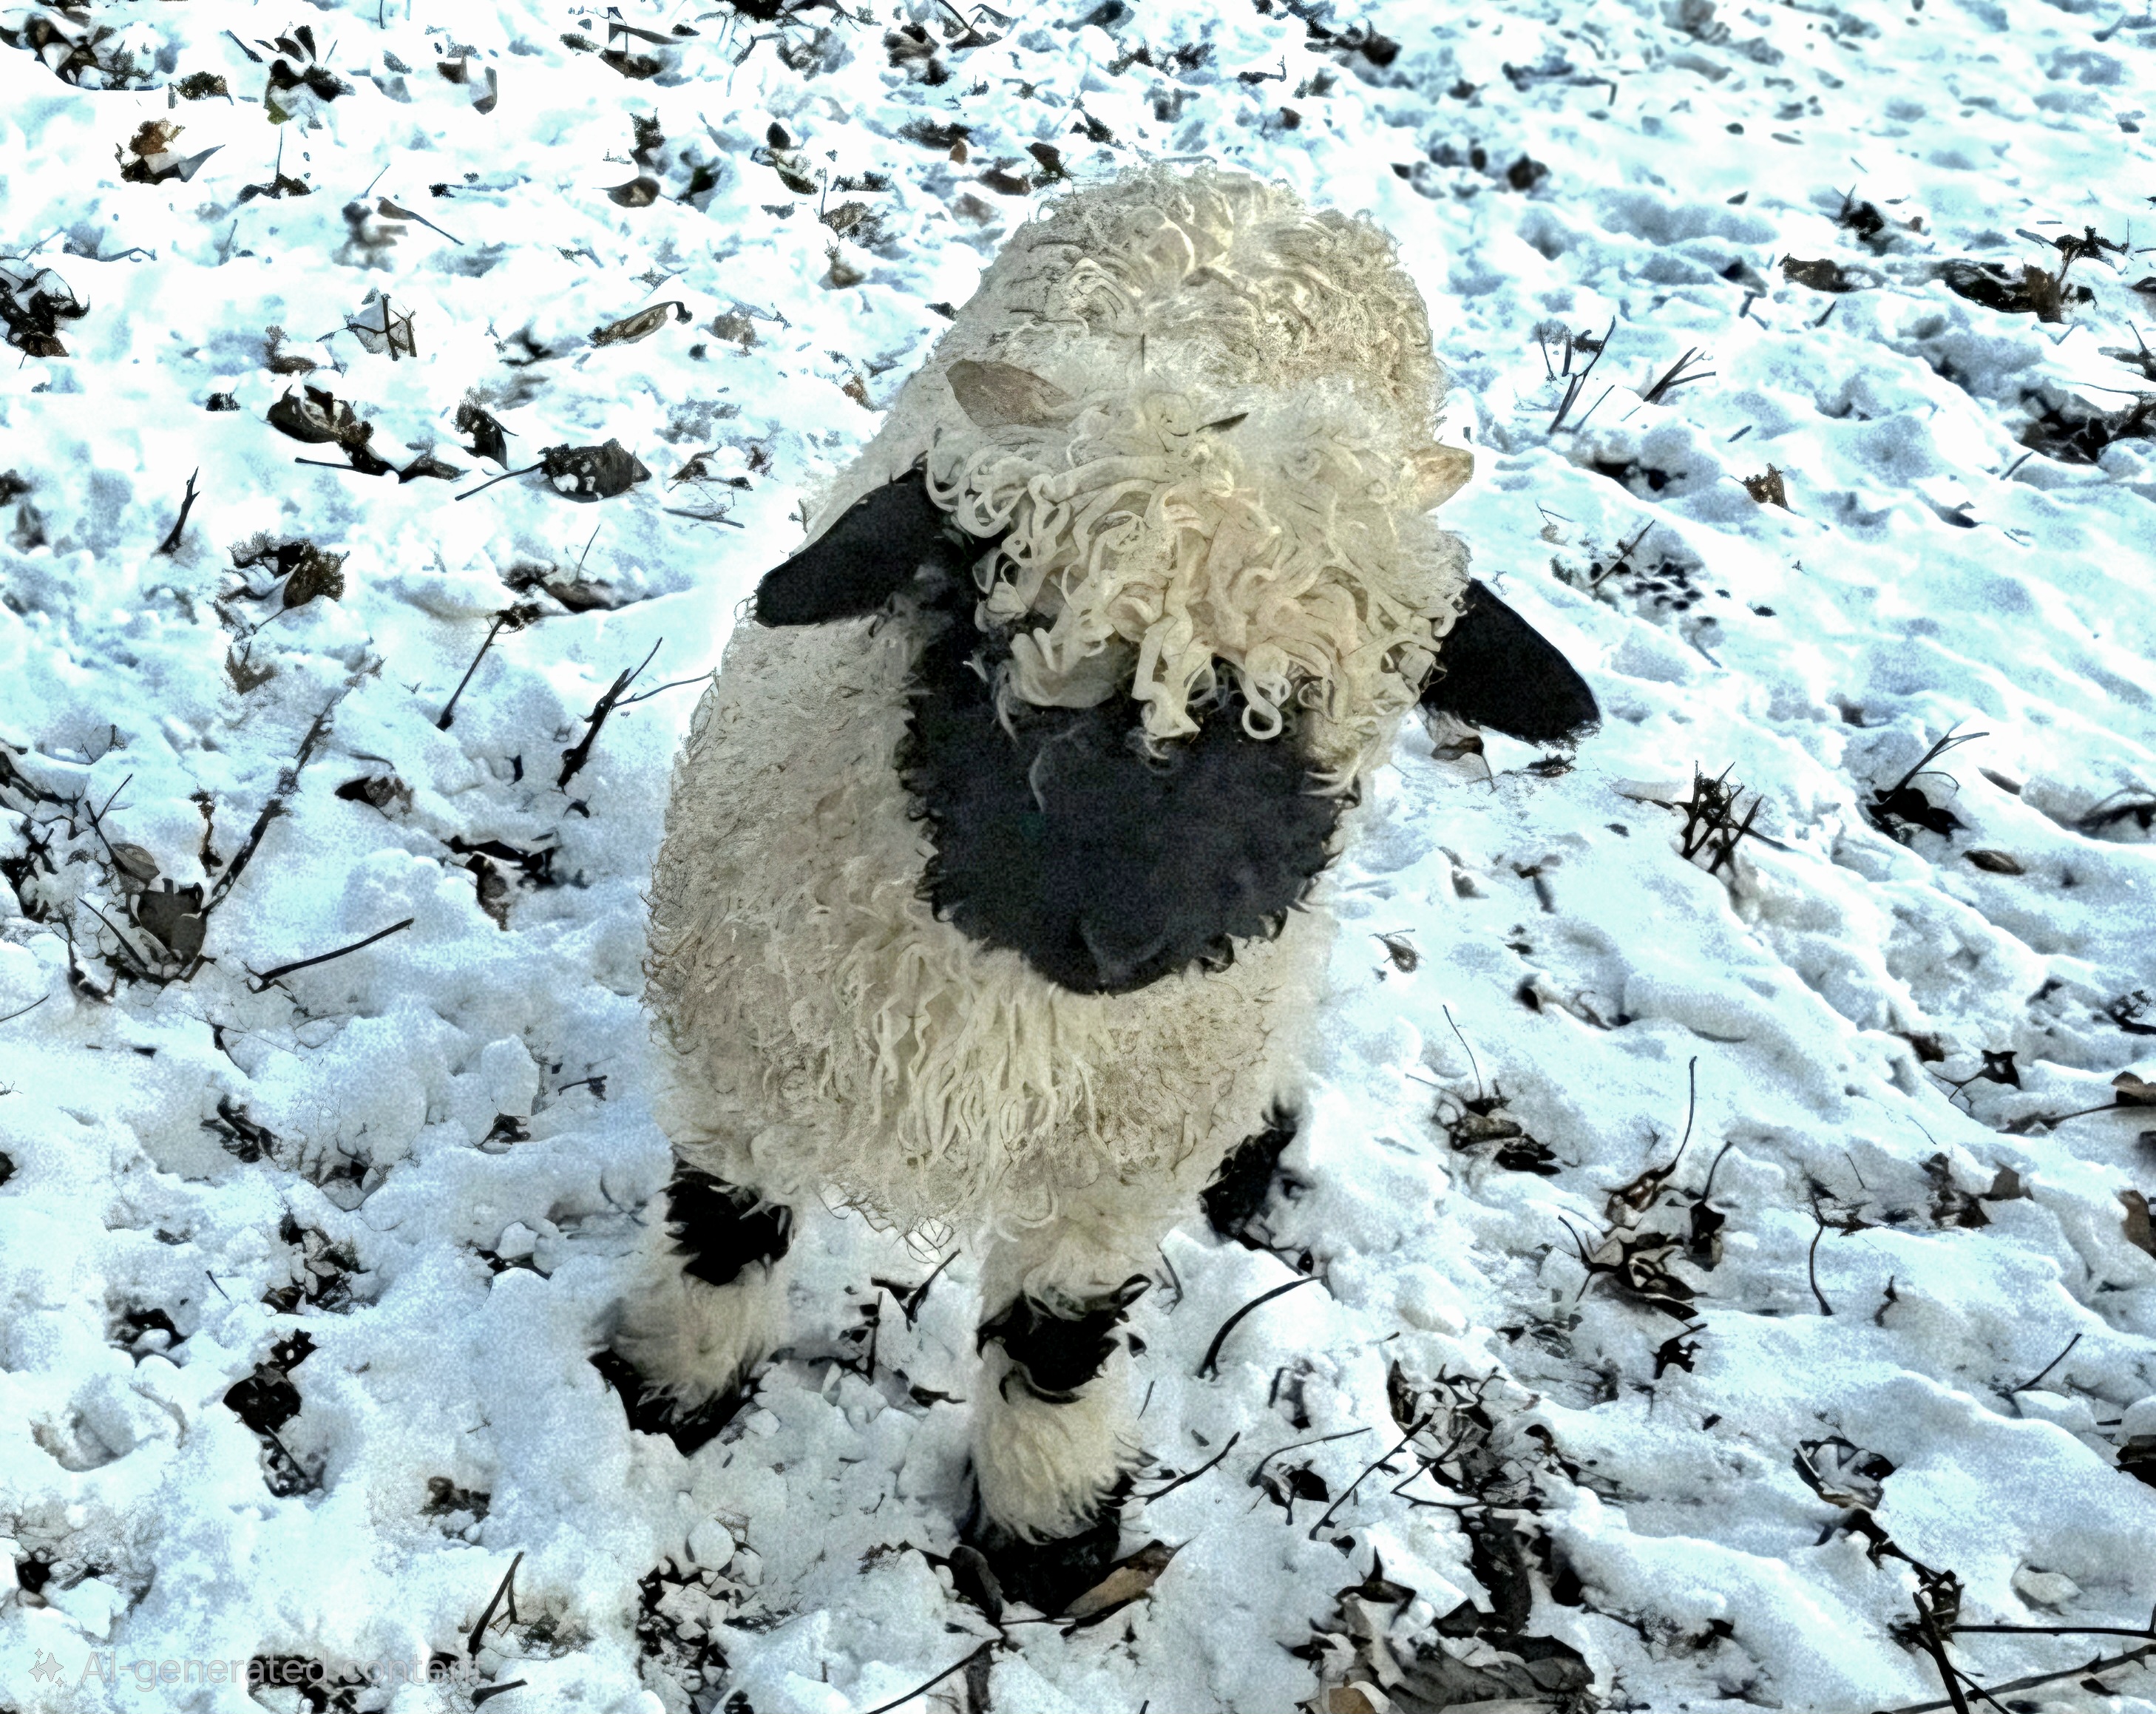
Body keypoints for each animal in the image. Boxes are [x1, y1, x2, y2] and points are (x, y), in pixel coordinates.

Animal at [610, 161, 1598, 1611]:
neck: (1002, 1014)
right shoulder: (745, 1054)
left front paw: (1049, 1536)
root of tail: (1262, 186)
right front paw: (663, 1392)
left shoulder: (1115, 1156)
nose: (1124, 940)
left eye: (1298, 730)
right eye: (992, 644)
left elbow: (1057, 1346)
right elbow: (720, 1233)